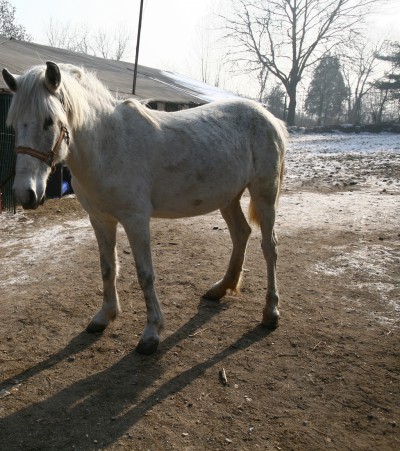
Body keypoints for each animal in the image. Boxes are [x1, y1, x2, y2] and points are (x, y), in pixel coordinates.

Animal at [1, 61, 286, 354]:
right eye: (14, 123)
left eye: (49, 121)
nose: (25, 193)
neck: (107, 146)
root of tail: (269, 117)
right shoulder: (100, 219)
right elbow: (107, 267)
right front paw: (104, 316)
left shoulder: (136, 220)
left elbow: (145, 274)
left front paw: (151, 333)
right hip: (228, 197)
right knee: (241, 234)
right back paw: (221, 288)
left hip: (264, 194)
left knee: (269, 247)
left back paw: (270, 312)